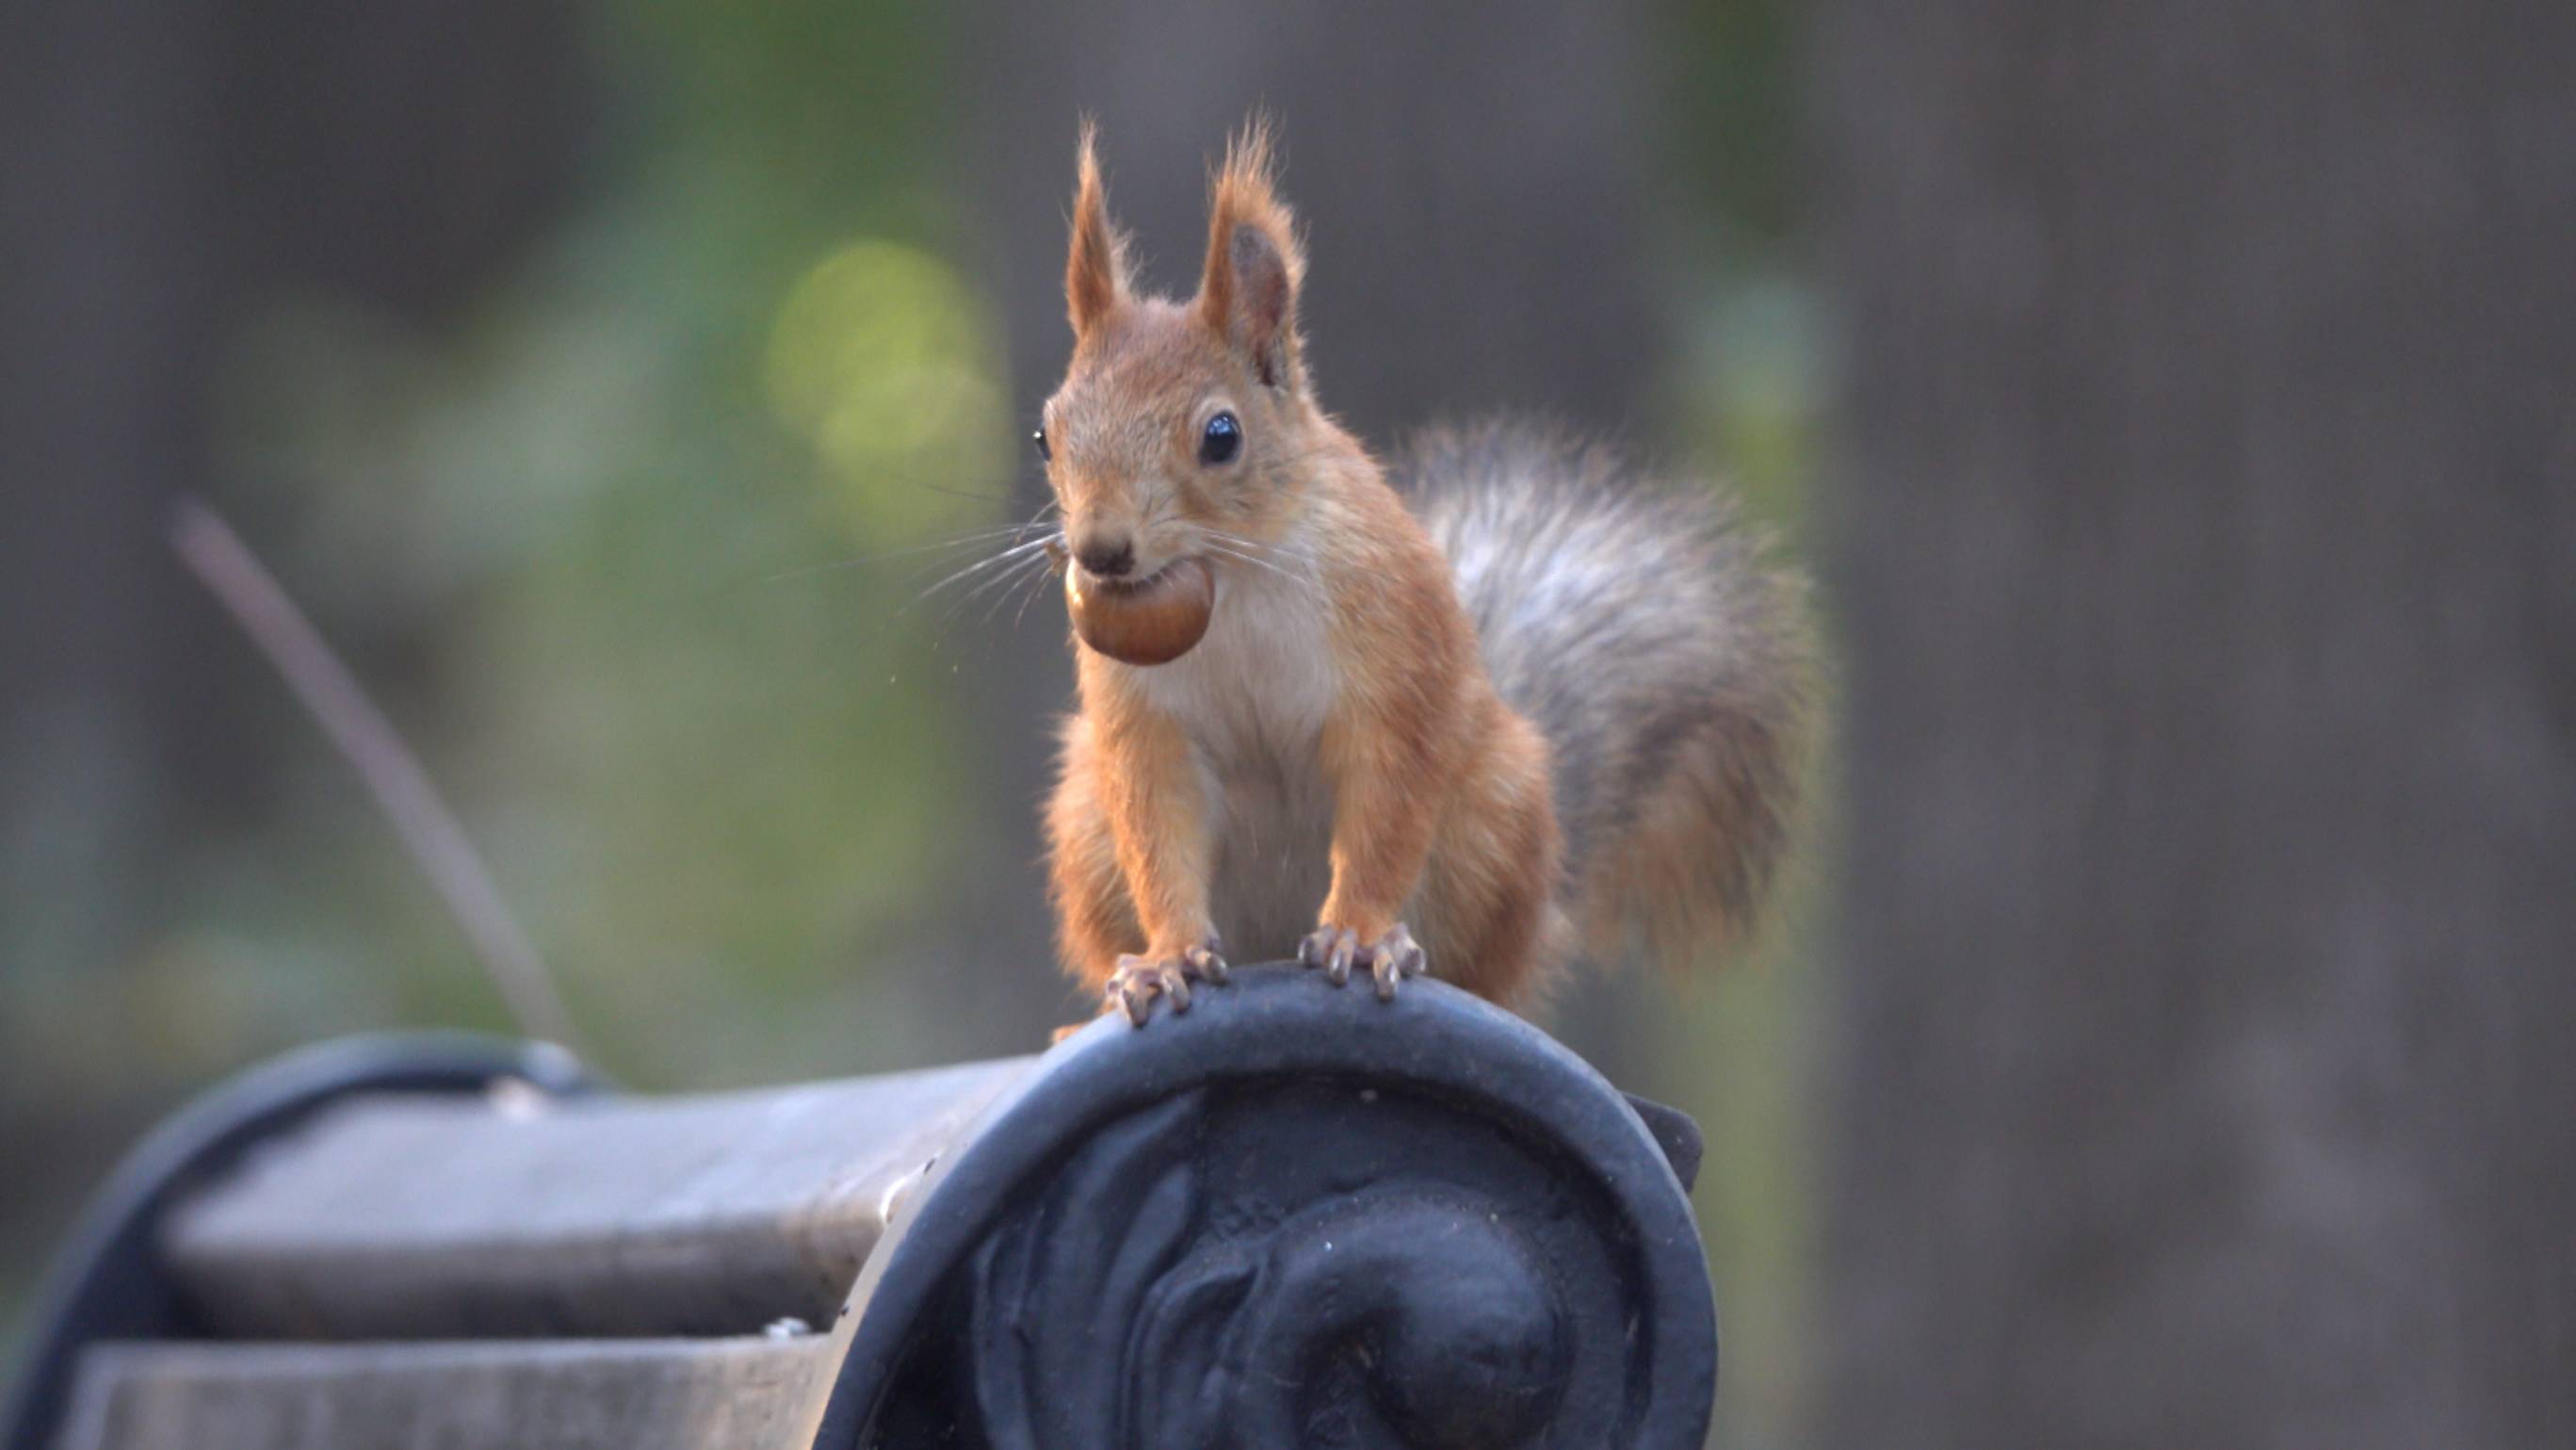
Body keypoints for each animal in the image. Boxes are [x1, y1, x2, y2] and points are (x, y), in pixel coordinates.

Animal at [1030, 127, 1813, 1030]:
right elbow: (1157, 830)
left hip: (1493, 817)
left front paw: (1361, 935)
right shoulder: (1144, 725)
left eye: (1220, 436)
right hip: (1083, 826)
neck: (1234, 580)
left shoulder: (1394, 660)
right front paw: (1166, 957)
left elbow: (1387, 809)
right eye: (1046, 433)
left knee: (1482, 966)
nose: (1100, 550)